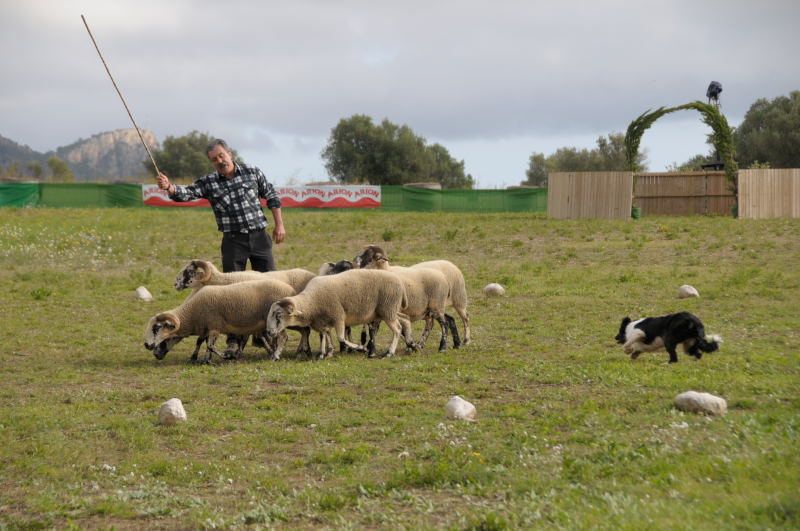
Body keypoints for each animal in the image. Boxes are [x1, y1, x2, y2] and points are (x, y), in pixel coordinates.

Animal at [145, 276, 296, 364]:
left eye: (156, 328)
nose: (147, 346)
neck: (191, 314)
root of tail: (290, 289)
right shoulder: (207, 327)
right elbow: (202, 342)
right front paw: (202, 359)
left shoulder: (215, 326)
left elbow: (210, 346)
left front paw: (228, 356)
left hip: (276, 321)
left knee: (283, 337)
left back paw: (275, 355)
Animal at [266, 270, 416, 362]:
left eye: (279, 314)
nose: (269, 332)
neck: (312, 301)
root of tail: (400, 283)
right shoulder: (322, 321)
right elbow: (325, 335)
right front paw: (325, 353)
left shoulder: (338, 315)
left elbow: (341, 338)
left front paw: (362, 348)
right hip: (390, 310)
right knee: (405, 320)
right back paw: (412, 344)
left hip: (388, 309)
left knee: (397, 329)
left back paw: (389, 352)